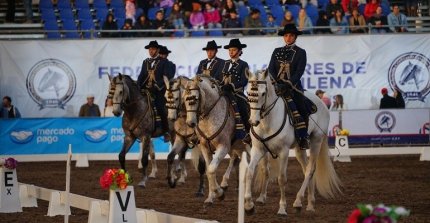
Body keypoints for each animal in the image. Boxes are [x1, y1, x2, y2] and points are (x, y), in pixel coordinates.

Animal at [244, 70, 340, 216]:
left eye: (263, 93)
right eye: (248, 92)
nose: (253, 121)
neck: (267, 122)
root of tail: (322, 104)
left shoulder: (283, 152)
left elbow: (282, 179)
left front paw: (282, 208)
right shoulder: (258, 149)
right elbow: (250, 172)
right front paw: (249, 205)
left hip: (316, 141)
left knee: (310, 170)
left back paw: (298, 201)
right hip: (300, 149)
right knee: (306, 169)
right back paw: (309, 204)